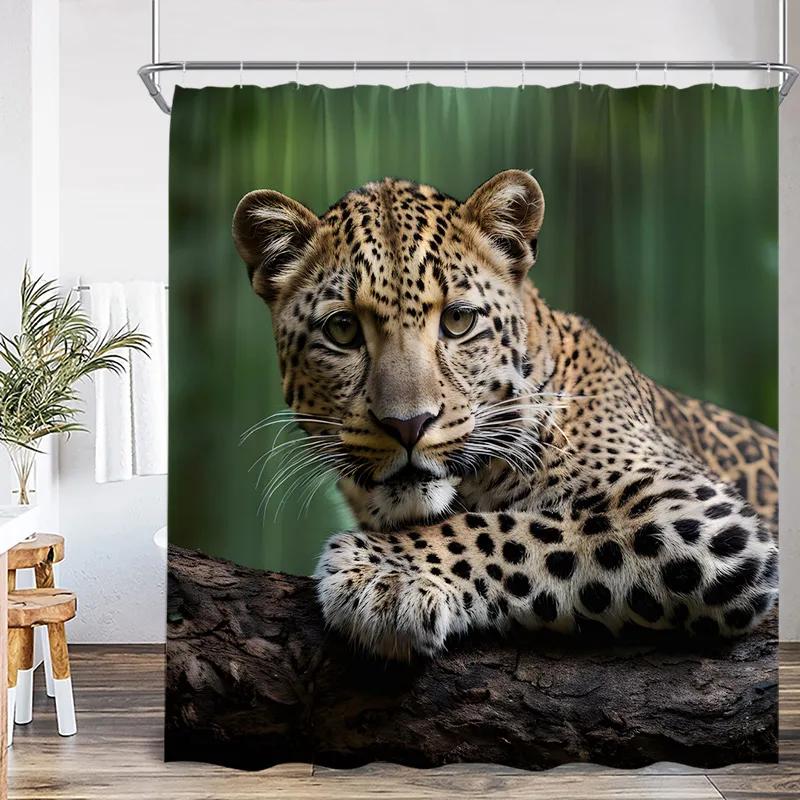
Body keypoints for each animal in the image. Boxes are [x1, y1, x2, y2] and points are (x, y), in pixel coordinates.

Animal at [232, 169, 779, 660]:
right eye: (342, 330)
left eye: (458, 320)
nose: (408, 425)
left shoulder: (696, 512)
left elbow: (513, 529)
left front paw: (385, 573)